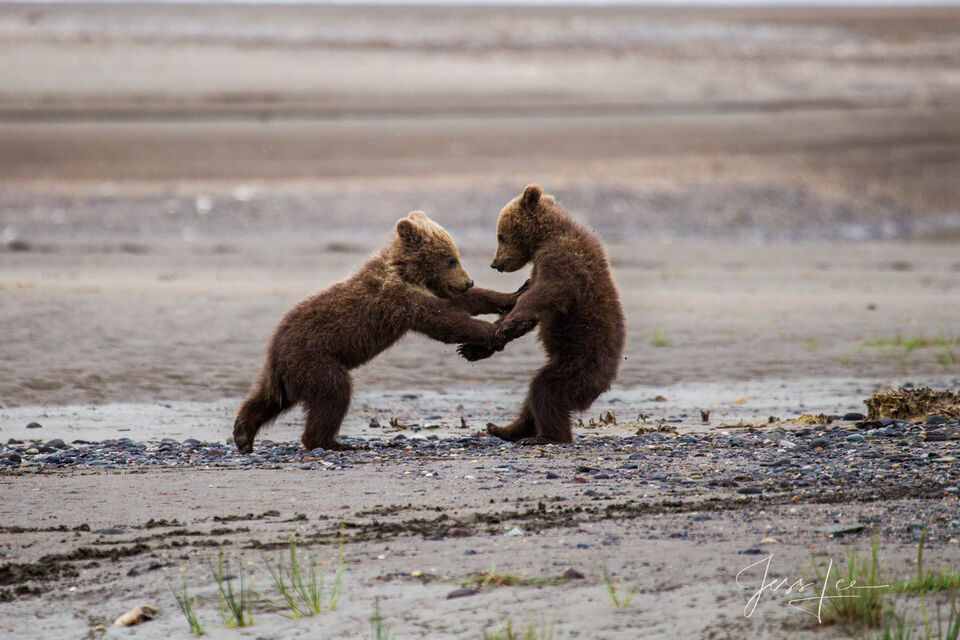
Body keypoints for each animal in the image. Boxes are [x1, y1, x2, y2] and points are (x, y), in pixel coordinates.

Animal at [233, 211, 521, 453]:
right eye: (451, 259)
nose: (467, 281)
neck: (405, 271)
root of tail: (275, 347)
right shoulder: (399, 298)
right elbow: (444, 320)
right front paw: (492, 330)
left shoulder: (427, 290)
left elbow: (466, 302)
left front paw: (512, 296)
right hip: (314, 358)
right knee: (333, 393)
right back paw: (332, 443)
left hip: (289, 372)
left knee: (269, 398)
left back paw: (243, 434)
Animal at [458, 184, 626, 444]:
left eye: (500, 235)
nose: (495, 264)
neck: (546, 237)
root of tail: (607, 380)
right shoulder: (540, 265)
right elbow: (533, 313)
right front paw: (474, 348)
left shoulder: (564, 260)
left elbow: (545, 293)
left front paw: (508, 324)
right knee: (532, 398)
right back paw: (503, 428)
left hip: (578, 363)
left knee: (546, 391)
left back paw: (547, 436)